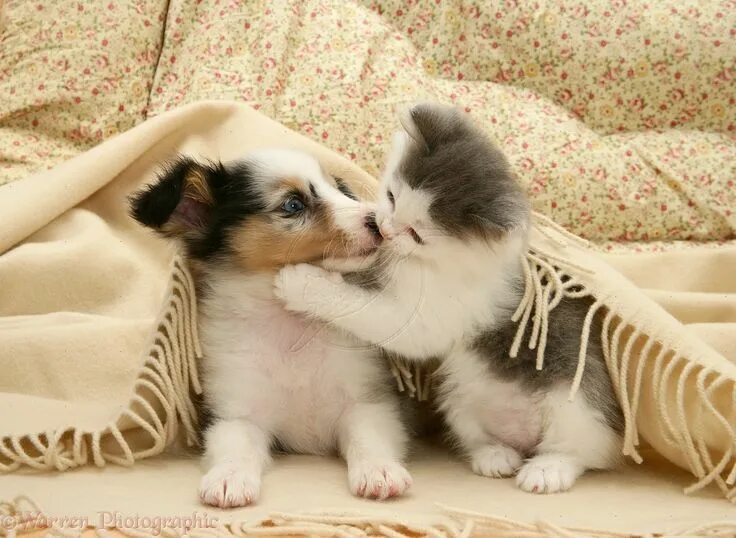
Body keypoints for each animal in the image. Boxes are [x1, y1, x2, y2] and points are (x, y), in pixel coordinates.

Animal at [130, 150, 412, 506]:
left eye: (340, 190)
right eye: (293, 204)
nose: (378, 222)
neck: (288, 326)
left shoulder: (367, 402)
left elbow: (369, 439)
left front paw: (380, 471)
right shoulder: (236, 414)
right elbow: (236, 448)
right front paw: (229, 478)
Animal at [274, 102, 620, 492]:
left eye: (417, 234)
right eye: (391, 197)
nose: (384, 229)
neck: (438, 262)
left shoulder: (431, 317)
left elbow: (365, 309)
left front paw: (301, 282)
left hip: (578, 405)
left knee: (579, 450)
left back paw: (547, 470)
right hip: (459, 401)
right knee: (483, 438)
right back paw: (494, 456)